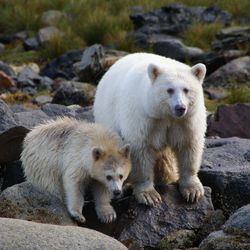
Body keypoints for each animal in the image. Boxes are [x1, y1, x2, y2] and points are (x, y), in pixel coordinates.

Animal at [94, 52, 207, 205]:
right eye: (169, 90)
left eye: (186, 90)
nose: (180, 107)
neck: (166, 116)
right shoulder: (144, 118)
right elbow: (140, 150)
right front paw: (149, 195)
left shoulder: (185, 121)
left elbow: (189, 147)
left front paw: (193, 190)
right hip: (108, 117)